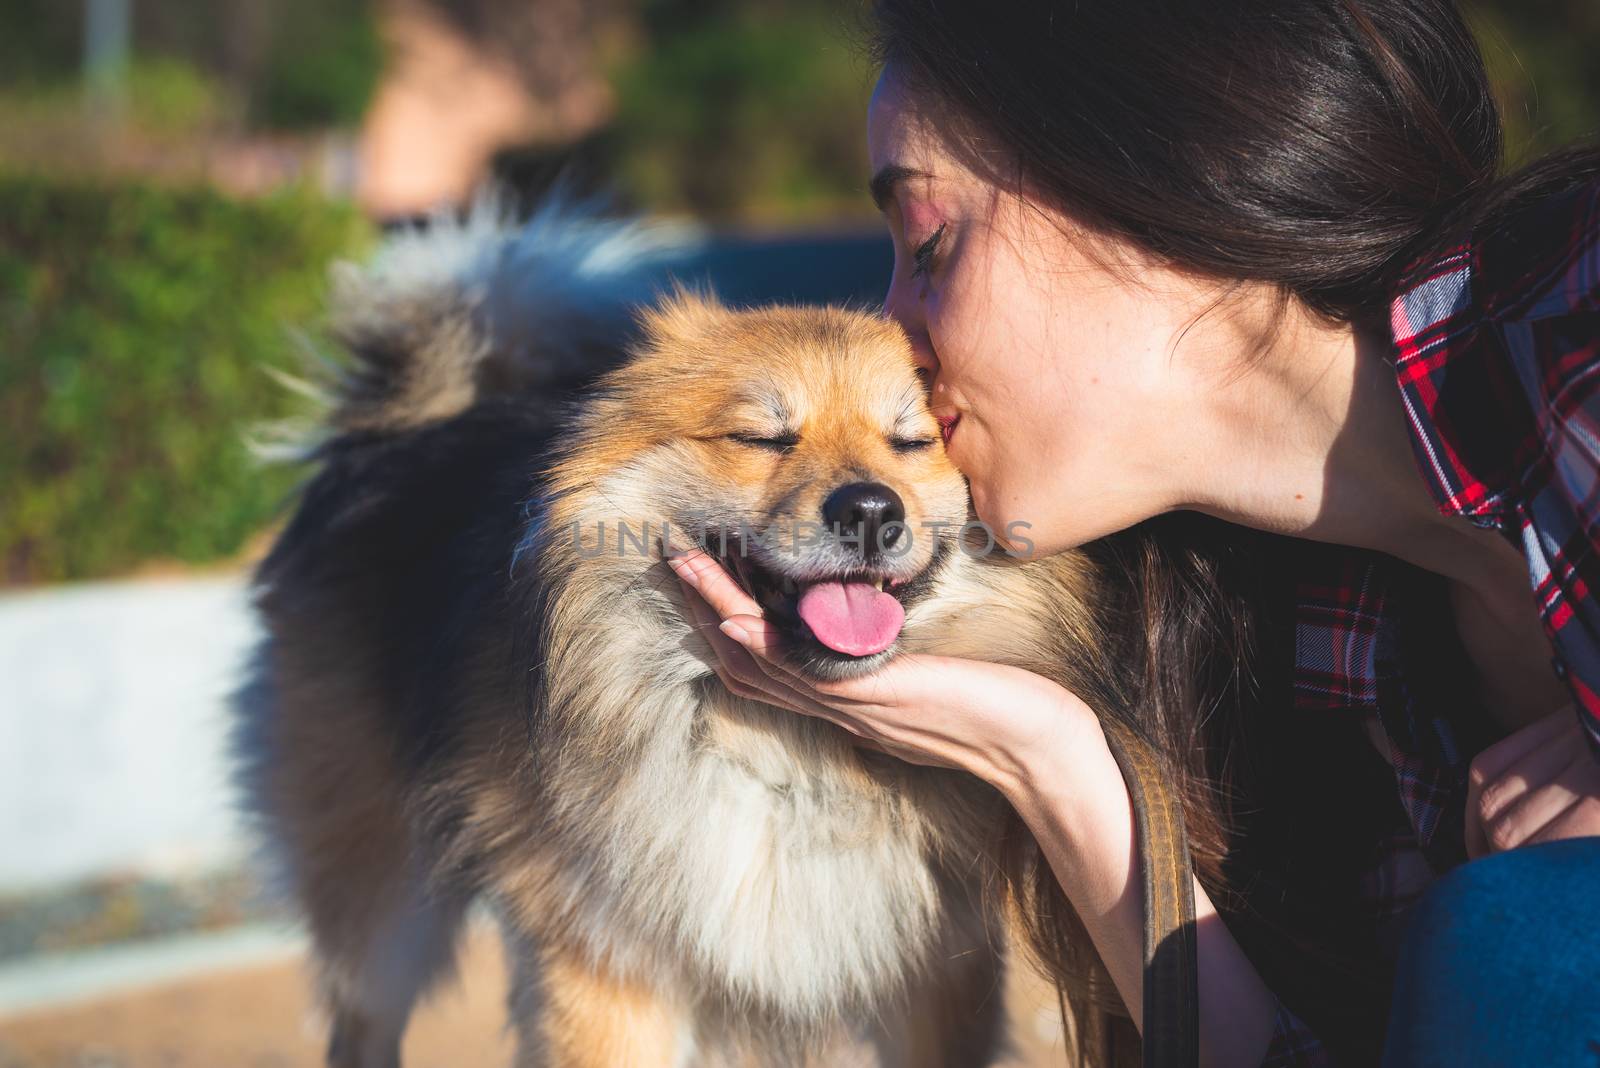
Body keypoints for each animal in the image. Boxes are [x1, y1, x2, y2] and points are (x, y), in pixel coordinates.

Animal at [236, 204, 1132, 1068]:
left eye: (914, 442)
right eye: (763, 437)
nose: (871, 510)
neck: (790, 753)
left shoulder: (939, 979)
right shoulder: (610, 970)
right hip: (378, 901)